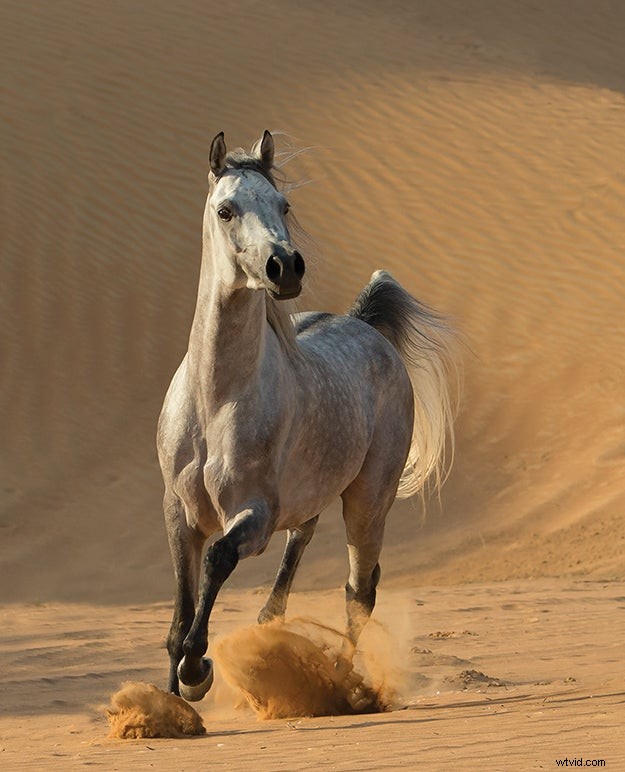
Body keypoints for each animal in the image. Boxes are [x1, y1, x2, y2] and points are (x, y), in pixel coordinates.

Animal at [157, 130, 458, 702]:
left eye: (284, 205)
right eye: (226, 210)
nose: (286, 267)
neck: (216, 403)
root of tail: (366, 326)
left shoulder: (254, 516)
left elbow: (217, 560)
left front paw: (197, 671)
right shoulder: (178, 514)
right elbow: (180, 617)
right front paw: (171, 701)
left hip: (368, 502)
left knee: (360, 591)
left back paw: (342, 685)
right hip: (310, 505)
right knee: (286, 587)